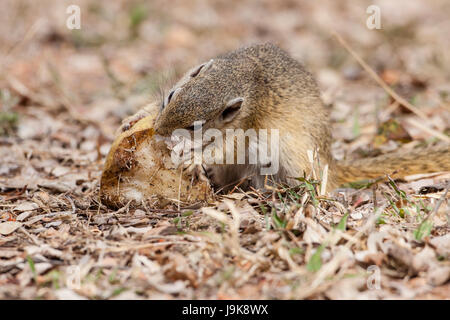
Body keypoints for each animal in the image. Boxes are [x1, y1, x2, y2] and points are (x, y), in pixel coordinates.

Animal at [128, 43, 448, 191]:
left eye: (194, 127)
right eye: (170, 96)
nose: (158, 131)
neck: (244, 78)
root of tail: (330, 162)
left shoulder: (242, 130)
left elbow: (223, 149)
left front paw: (195, 158)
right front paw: (138, 115)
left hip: (294, 158)